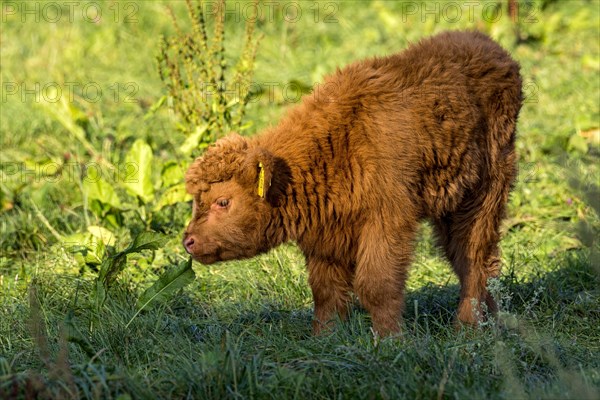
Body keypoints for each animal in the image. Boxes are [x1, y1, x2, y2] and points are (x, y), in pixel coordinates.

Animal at [183, 31, 520, 336]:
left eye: (223, 201)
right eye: (196, 201)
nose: (188, 240)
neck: (336, 143)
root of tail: (497, 53)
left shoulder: (387, 223)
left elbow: (376, 286)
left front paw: (390, 340)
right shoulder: (325, 236)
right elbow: (326, 290)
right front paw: (325, 338)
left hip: (484, 194)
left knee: (474, 258)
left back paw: (467, 327)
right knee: (477, 261)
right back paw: (493, 320)